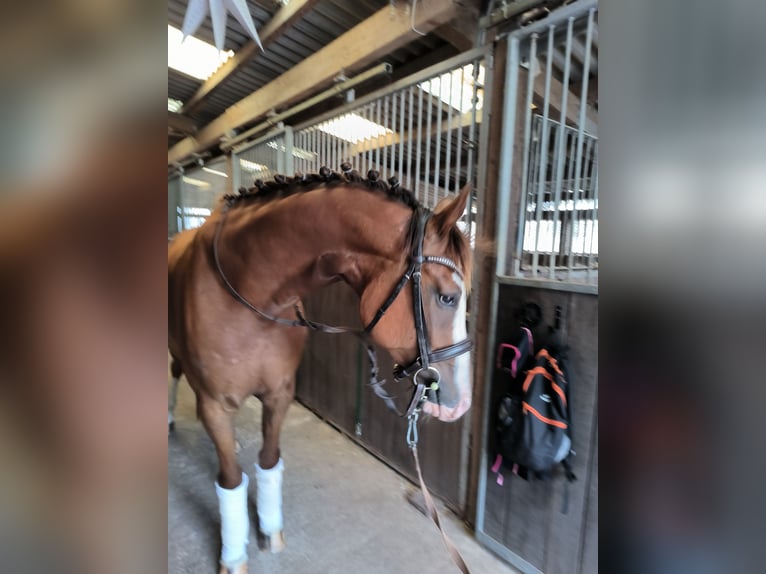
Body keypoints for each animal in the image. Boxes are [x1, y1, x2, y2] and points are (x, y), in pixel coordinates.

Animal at [168, 165, 474, 574]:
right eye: (447, 297)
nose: (461, 404)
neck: (248, 291)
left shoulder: (279, 393)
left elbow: (268, 462)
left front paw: (270, 530)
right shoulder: (216, 405)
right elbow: (231, 481)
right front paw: (233, 556)